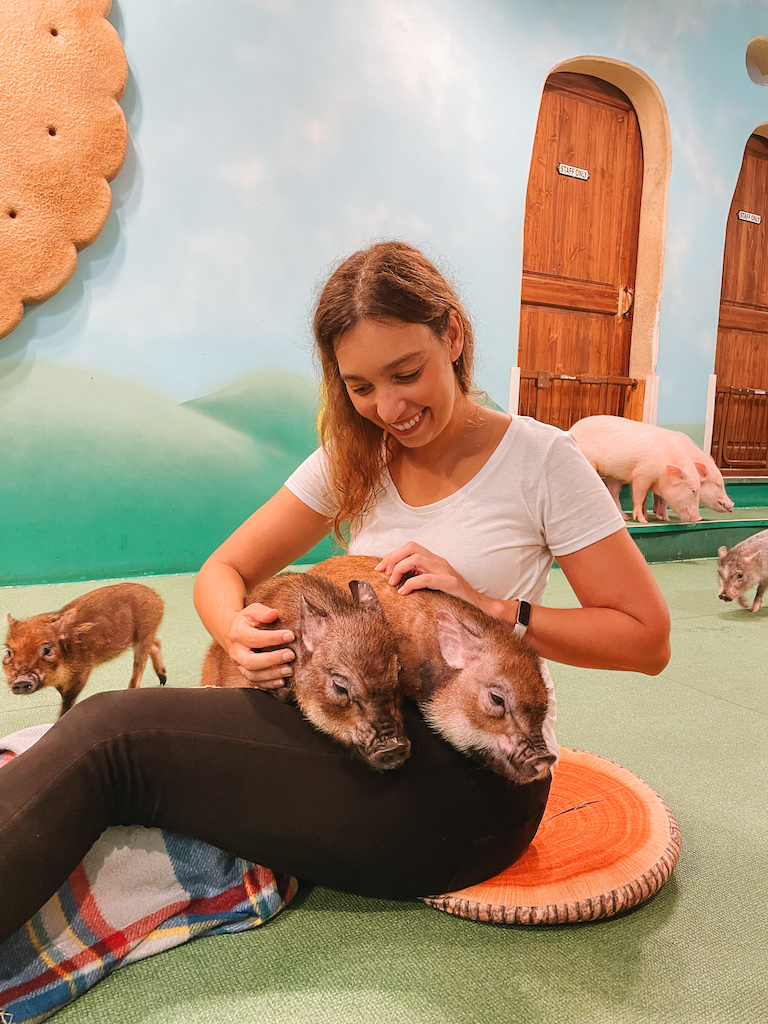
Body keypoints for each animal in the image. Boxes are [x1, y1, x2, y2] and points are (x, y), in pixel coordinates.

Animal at [569, 417, 708, 528]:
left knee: (613, 493)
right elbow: (639, 495)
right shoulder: (642, 474)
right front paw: (642, 521)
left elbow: (645, 497)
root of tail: (572, 429)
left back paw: (624, 517)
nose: (699, 518)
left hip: (613, 476)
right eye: (693, 490)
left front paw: (649, 517)